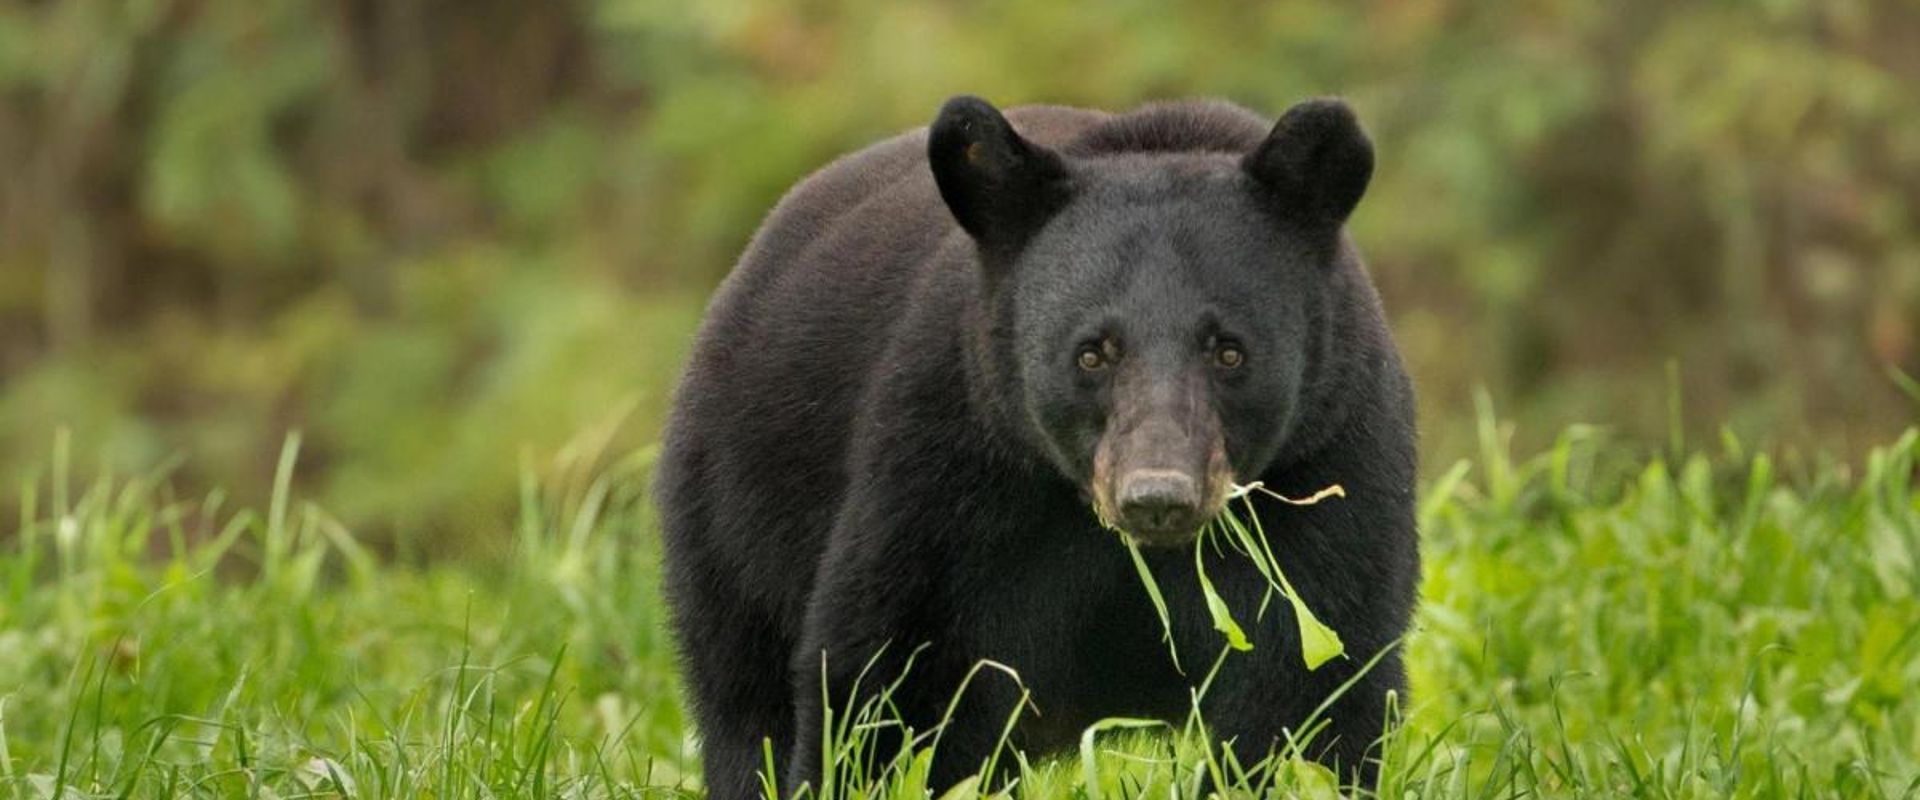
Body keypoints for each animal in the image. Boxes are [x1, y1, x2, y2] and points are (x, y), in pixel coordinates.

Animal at [655, 94, 1419, 799]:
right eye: (1093, 352)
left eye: (1229, 351)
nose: (1158, 497)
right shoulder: (949, 470)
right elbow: (898, 681)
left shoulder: (1327, 468)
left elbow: (1305, 685)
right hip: (735, 517)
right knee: (745, 705)